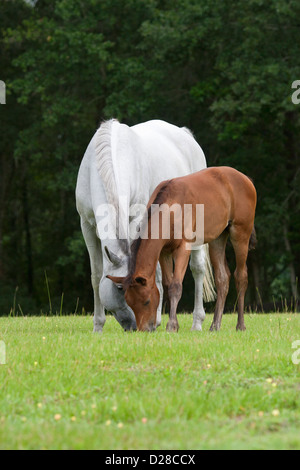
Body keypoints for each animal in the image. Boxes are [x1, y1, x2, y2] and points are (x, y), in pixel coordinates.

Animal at [76, 119, 214, 332]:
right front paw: (98, 327)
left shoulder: (137, 221)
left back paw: (196, 322)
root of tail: (187, 136)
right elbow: (96, 275)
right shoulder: (87, 225)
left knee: (197, 268)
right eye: (119, 287)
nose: (135, 326)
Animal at [106, 167, 256, 332]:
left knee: (241, 276)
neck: (170, 210)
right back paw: (215, 325)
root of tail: (247, 180)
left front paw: (172, 325)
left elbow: (176, 286)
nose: (144, 329)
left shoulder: (183, 248)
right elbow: (167, 284)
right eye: (129, 302)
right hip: (218, 238)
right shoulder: (164, 252)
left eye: (146, 301)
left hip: (240, 233)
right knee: (222, 278)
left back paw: (240, 325)